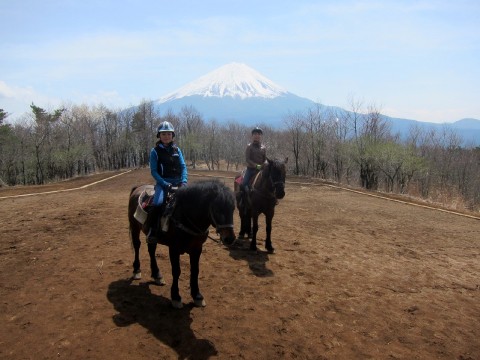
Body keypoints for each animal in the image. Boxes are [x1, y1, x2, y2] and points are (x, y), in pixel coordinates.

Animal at [128, 180, 235, 310]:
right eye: (217, 209)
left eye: (233, 209)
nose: (230, 238)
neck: (185, 217)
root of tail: (138, 188)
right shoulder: (174, 249)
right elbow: (176, 271)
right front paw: (176, 297)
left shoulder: (197, 249)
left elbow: (195, 270)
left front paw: (197, 296)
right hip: (134, 227)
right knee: (137, 246)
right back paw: (136, 270)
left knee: (151, 250)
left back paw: (157, 275)